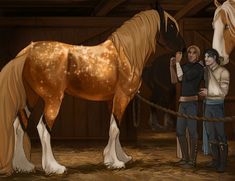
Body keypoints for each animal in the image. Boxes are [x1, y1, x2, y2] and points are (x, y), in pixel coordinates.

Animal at [0, 5, 185, 175]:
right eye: (171, 26)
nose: (183, 47)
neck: (126, 55)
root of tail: (28, 51)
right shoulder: (122, 97)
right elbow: (115, 128)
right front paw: (115, 162)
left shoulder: (112, 100)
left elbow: (114, 127)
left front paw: (120, 157)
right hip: (53, 99)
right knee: (43, 128)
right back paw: (54, 167)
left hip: (30, 98)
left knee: (19, 126)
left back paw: (24, 166)